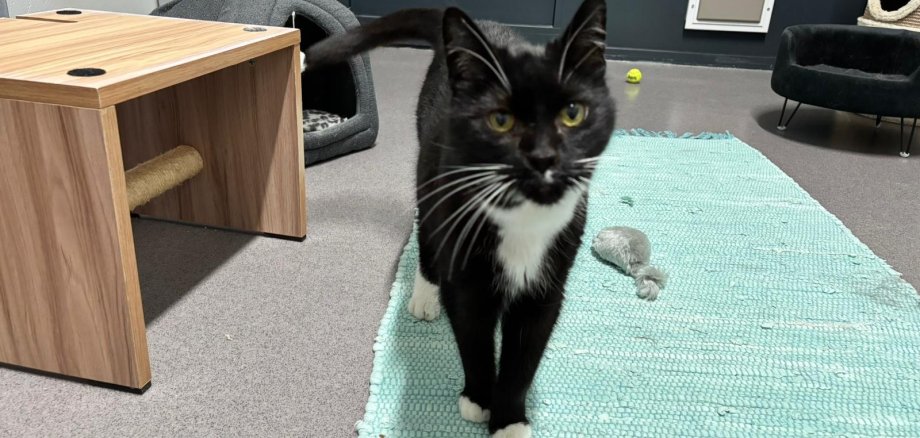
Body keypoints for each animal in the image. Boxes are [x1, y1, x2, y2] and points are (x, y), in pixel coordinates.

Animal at [305, 1, 614, 436]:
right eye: (500, 120)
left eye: (573, 113)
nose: (542, 158)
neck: (522, 222)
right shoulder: (466, 278)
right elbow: (473, 337)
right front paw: (478, 399)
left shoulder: (547, 285)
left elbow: (526, 354)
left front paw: (509, 420)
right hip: (430, 169)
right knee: (427, 232)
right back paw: (423, 295)